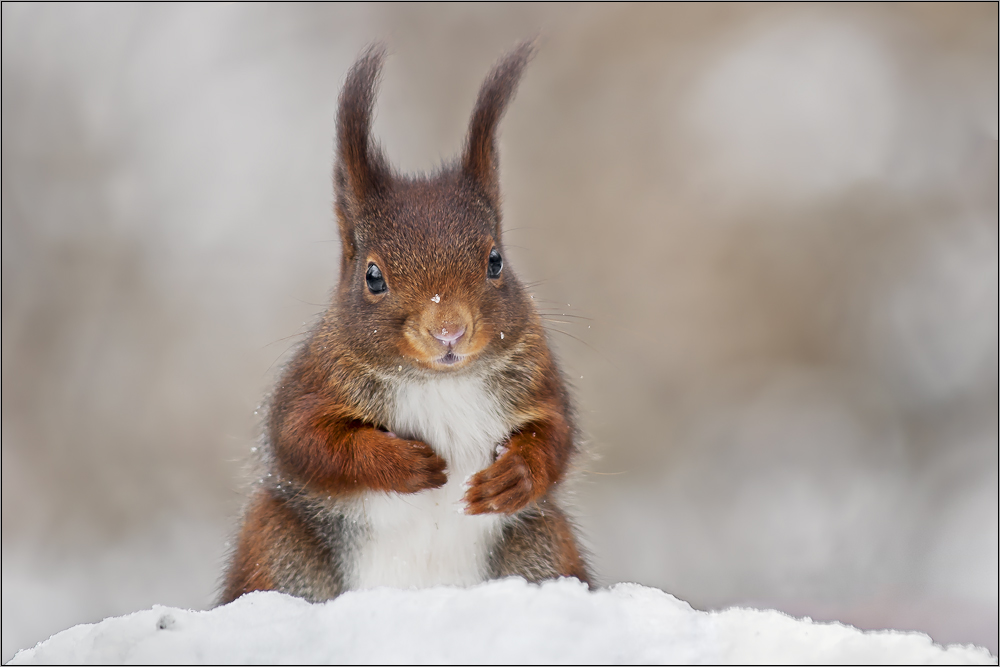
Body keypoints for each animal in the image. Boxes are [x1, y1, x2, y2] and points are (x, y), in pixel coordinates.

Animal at [219, 41, 588, 604]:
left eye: (496, 261)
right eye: (373, 276)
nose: (448, 330)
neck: (440, 383)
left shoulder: (538, 380)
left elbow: (557, 434)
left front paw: (514, 476)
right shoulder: (310, 385)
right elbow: (305, 440)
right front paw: (402, 464)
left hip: (543, 547)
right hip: (276, 548)